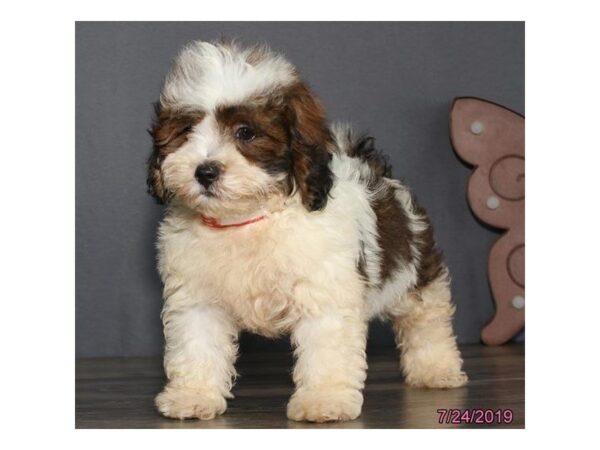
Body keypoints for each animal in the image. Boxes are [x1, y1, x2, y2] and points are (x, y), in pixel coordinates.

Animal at [148, 39, 466, 422]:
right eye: (185, 131)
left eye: (245, 132)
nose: (205, 171)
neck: (249, 219)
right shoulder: (197, 296)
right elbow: (198, 344)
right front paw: (194, 395)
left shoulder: (325, 290)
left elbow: (325, 346)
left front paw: (324, 399)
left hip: (416, 270)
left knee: (427, 318)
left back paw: (437, 368)